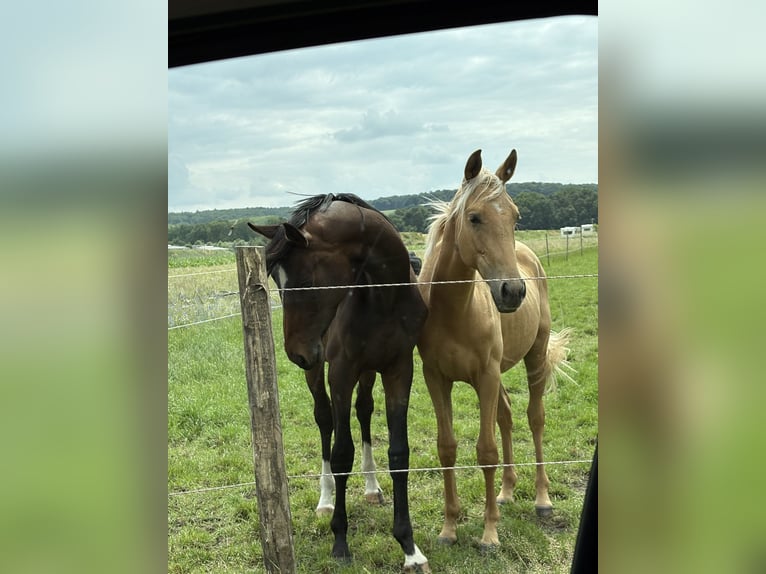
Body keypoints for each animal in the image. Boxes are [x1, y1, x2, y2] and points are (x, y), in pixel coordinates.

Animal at [248, 193, 430, 572]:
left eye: (304, 279)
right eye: (276, 282)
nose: (297, 353)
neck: (383, 296)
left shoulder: (399, 370)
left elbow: (399, 453)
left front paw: (409, 547)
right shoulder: (341, 372)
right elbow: (341, 452)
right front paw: (340, 541)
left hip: (366, 372)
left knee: (364, 411)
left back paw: (372, 487)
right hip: (320, 372)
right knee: (325, 421)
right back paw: (326, 499)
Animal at [417, 149, 573, 549]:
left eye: (516, 217)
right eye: (474, 217)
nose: (512, 291)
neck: (456, 311)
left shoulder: (485, 376)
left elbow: (486, 451)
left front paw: (489, 533)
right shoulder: (436, 379)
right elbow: (447, 447)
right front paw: (449, 528)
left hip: (534, 357)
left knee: (535, 418)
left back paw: (541, 499)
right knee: (506, 416)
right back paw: (506, 492)